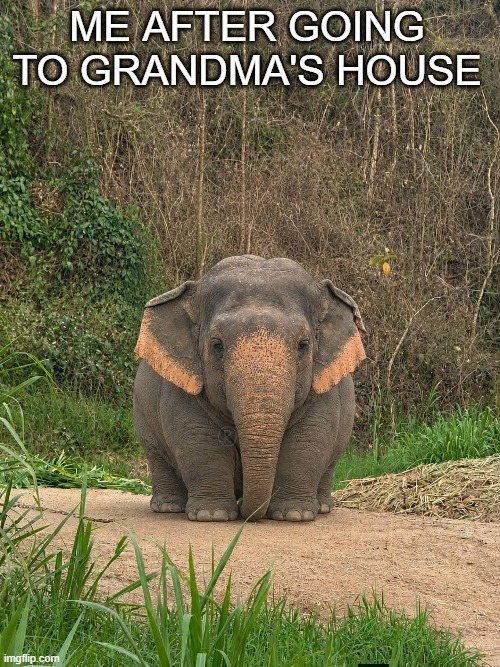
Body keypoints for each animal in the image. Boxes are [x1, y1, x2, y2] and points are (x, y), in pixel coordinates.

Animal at [133, 255, 366, 522]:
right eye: (217, 345)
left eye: (303, 345)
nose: (246, 509)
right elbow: (199, 439)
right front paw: (211, 515)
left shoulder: (322, 387)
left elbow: (308, 438)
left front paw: (294, 515)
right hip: (142, 416)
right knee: (157, 456)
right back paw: (168, 507)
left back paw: (324, 507)